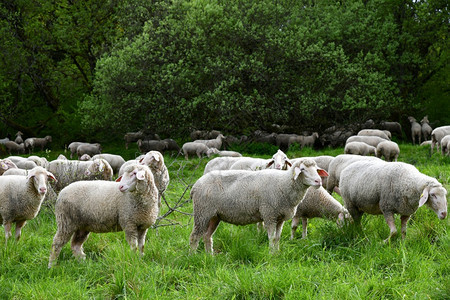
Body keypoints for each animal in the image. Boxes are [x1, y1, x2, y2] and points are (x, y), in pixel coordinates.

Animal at [188, 157, 328, 253]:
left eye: (316, 169)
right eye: (303, 169)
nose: (318, 181)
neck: (284, 183)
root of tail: (195, 185)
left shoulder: (280, 218)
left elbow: (277, 238)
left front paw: (277, 253)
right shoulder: (269, 214)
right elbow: (271, 238)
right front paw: (271, 255)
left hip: (214, 216)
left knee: (207, 236)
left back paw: (209, 257)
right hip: (202, 212)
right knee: (194, 237)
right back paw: (193, 257)